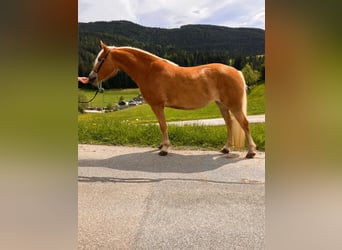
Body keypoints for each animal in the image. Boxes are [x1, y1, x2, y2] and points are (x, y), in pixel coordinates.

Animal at [87, 41, 255, 158]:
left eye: (100, 59)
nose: (91, 78)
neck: (149, 71)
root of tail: (236, 71)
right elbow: (161, 125)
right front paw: (161, 145)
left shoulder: (157, 105)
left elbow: (163, 126)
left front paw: (165, 149)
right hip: (222, 105)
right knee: (229, 124)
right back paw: (226, 148)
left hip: (234, 105)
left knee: (244, 124)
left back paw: (251, 152)